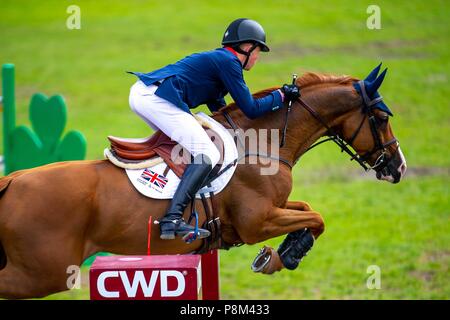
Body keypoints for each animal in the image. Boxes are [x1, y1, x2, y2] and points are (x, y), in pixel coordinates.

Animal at [0, 66, 408, 298]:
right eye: (382, 117)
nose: (399, 167)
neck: (263, 144)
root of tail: (12, 182)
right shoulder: (257, 222)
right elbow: (317, 218)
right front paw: (279, 257)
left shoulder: (272, 210)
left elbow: (309, 212)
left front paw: (286, 251)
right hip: (45, 273)